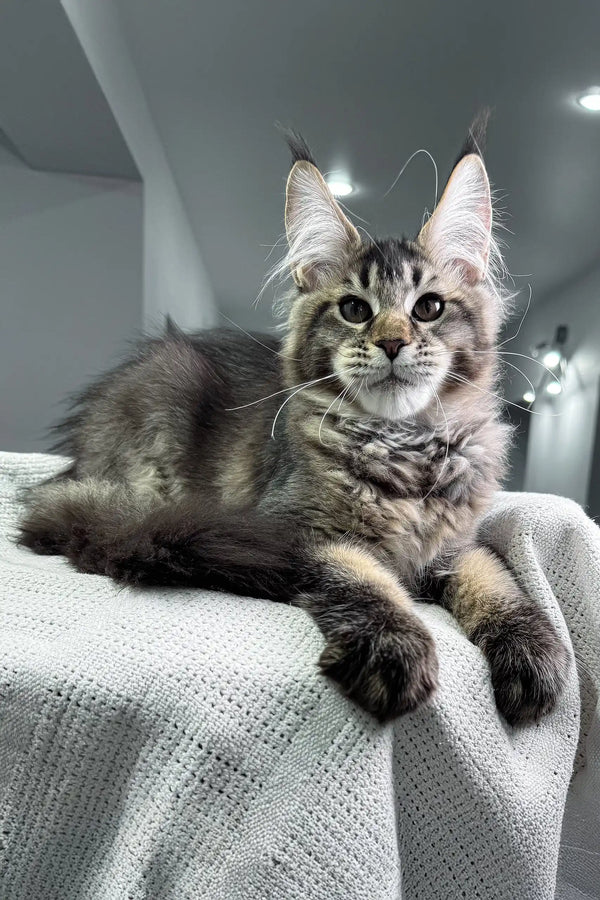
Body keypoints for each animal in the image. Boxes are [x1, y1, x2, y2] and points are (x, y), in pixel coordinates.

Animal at [18, 118, 568, 724]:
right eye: (354, 309)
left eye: (428, 308)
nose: (392, 343)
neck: (405, 451)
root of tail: (72, 468)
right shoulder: (301, 527)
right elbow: (367, 580)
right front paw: (393, 647)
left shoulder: (458, 545)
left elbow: (498, 581)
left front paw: (534, 651)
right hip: (161, 423)